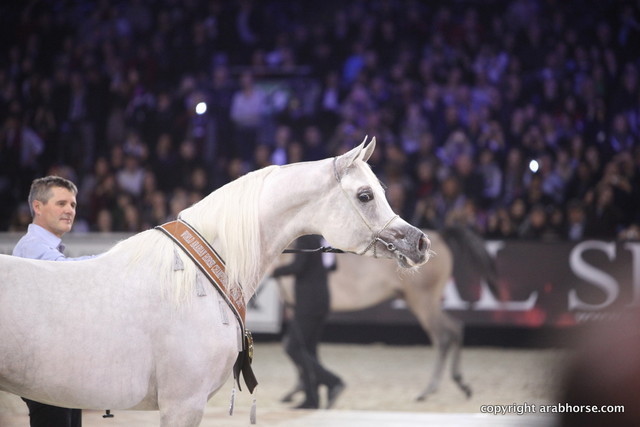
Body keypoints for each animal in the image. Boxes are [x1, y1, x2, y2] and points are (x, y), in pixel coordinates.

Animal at [277, 226, 497, 402]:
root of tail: (440, 235)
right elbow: (307, 348)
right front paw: (300, 390)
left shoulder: (298, 308)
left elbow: (300, 347)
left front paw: (300, 390)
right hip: (422, 301)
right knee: (455, 328)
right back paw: (461, 384)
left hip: (423, 301)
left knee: (443, 335)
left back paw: (428, 390)